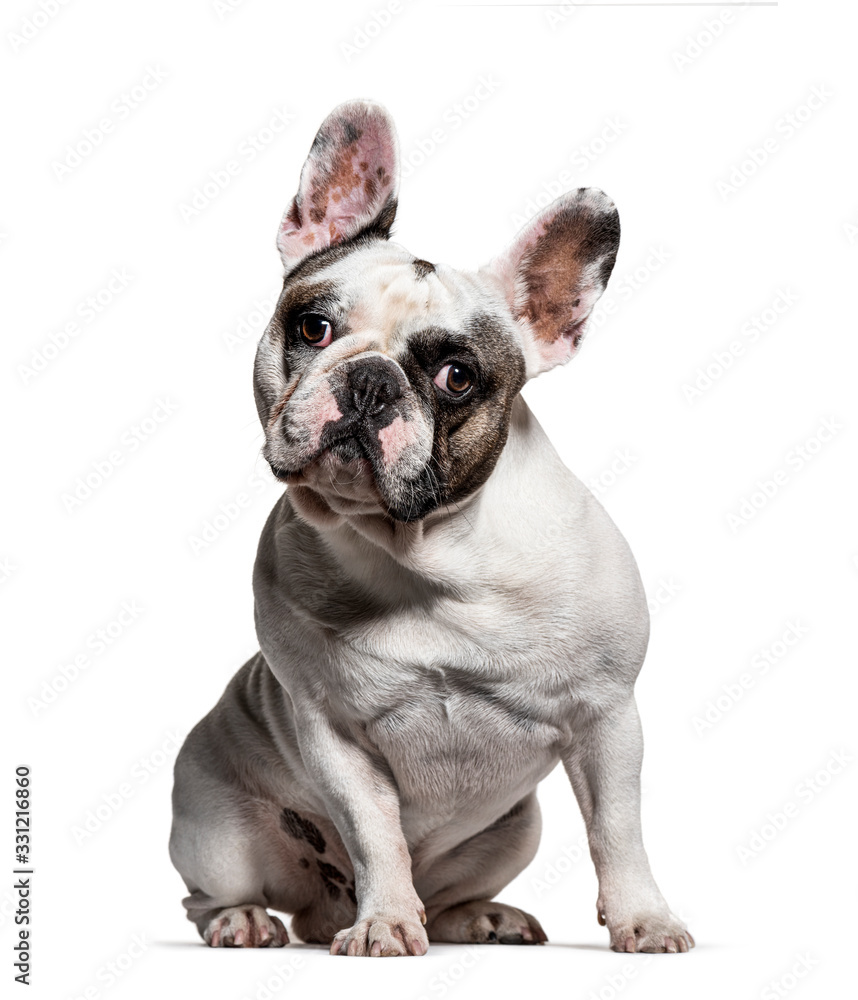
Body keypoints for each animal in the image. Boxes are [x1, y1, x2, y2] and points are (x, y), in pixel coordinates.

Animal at [171, 97, 692, 956]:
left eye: (457, 378)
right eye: (312, 328)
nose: (371, 381)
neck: (422, 551)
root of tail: (317, 909)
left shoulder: (608, 716)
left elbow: (617, 830)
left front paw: (645, 920)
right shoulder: (332, 733)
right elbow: (374, 831)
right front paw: (384, 921)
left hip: (516, 830)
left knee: (452, 890)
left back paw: (482, 916)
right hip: (215, 830)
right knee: (209, 893)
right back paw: (251, 919)